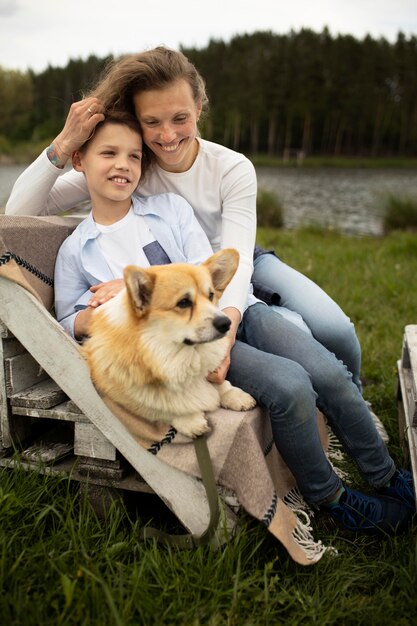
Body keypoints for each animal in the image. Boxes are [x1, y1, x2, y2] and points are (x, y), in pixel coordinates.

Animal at [81, 246, 255, 436]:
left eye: (211, 295)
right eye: (184, 302)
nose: (226, 323)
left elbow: (221, 383)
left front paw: (235, 395)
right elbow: (160, 408)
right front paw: (190, 420)